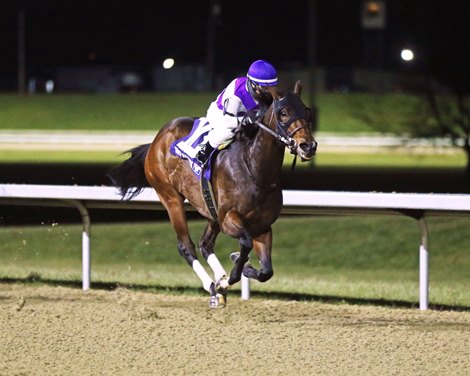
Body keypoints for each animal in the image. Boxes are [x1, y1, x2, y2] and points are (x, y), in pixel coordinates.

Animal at [109, 81, 316, 306]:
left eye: (307, 110)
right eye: (283, 112)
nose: (308, 146)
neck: (255, 170)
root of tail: (158, 139)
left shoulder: (262, 226)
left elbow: (266, 272)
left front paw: (241, 267)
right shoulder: (229, 219)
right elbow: (245, 243)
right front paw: (232, 272)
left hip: (210, 209)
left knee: (206, 244)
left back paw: (219, 280)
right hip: (170, 197)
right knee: (186, 246)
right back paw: (213, 286)